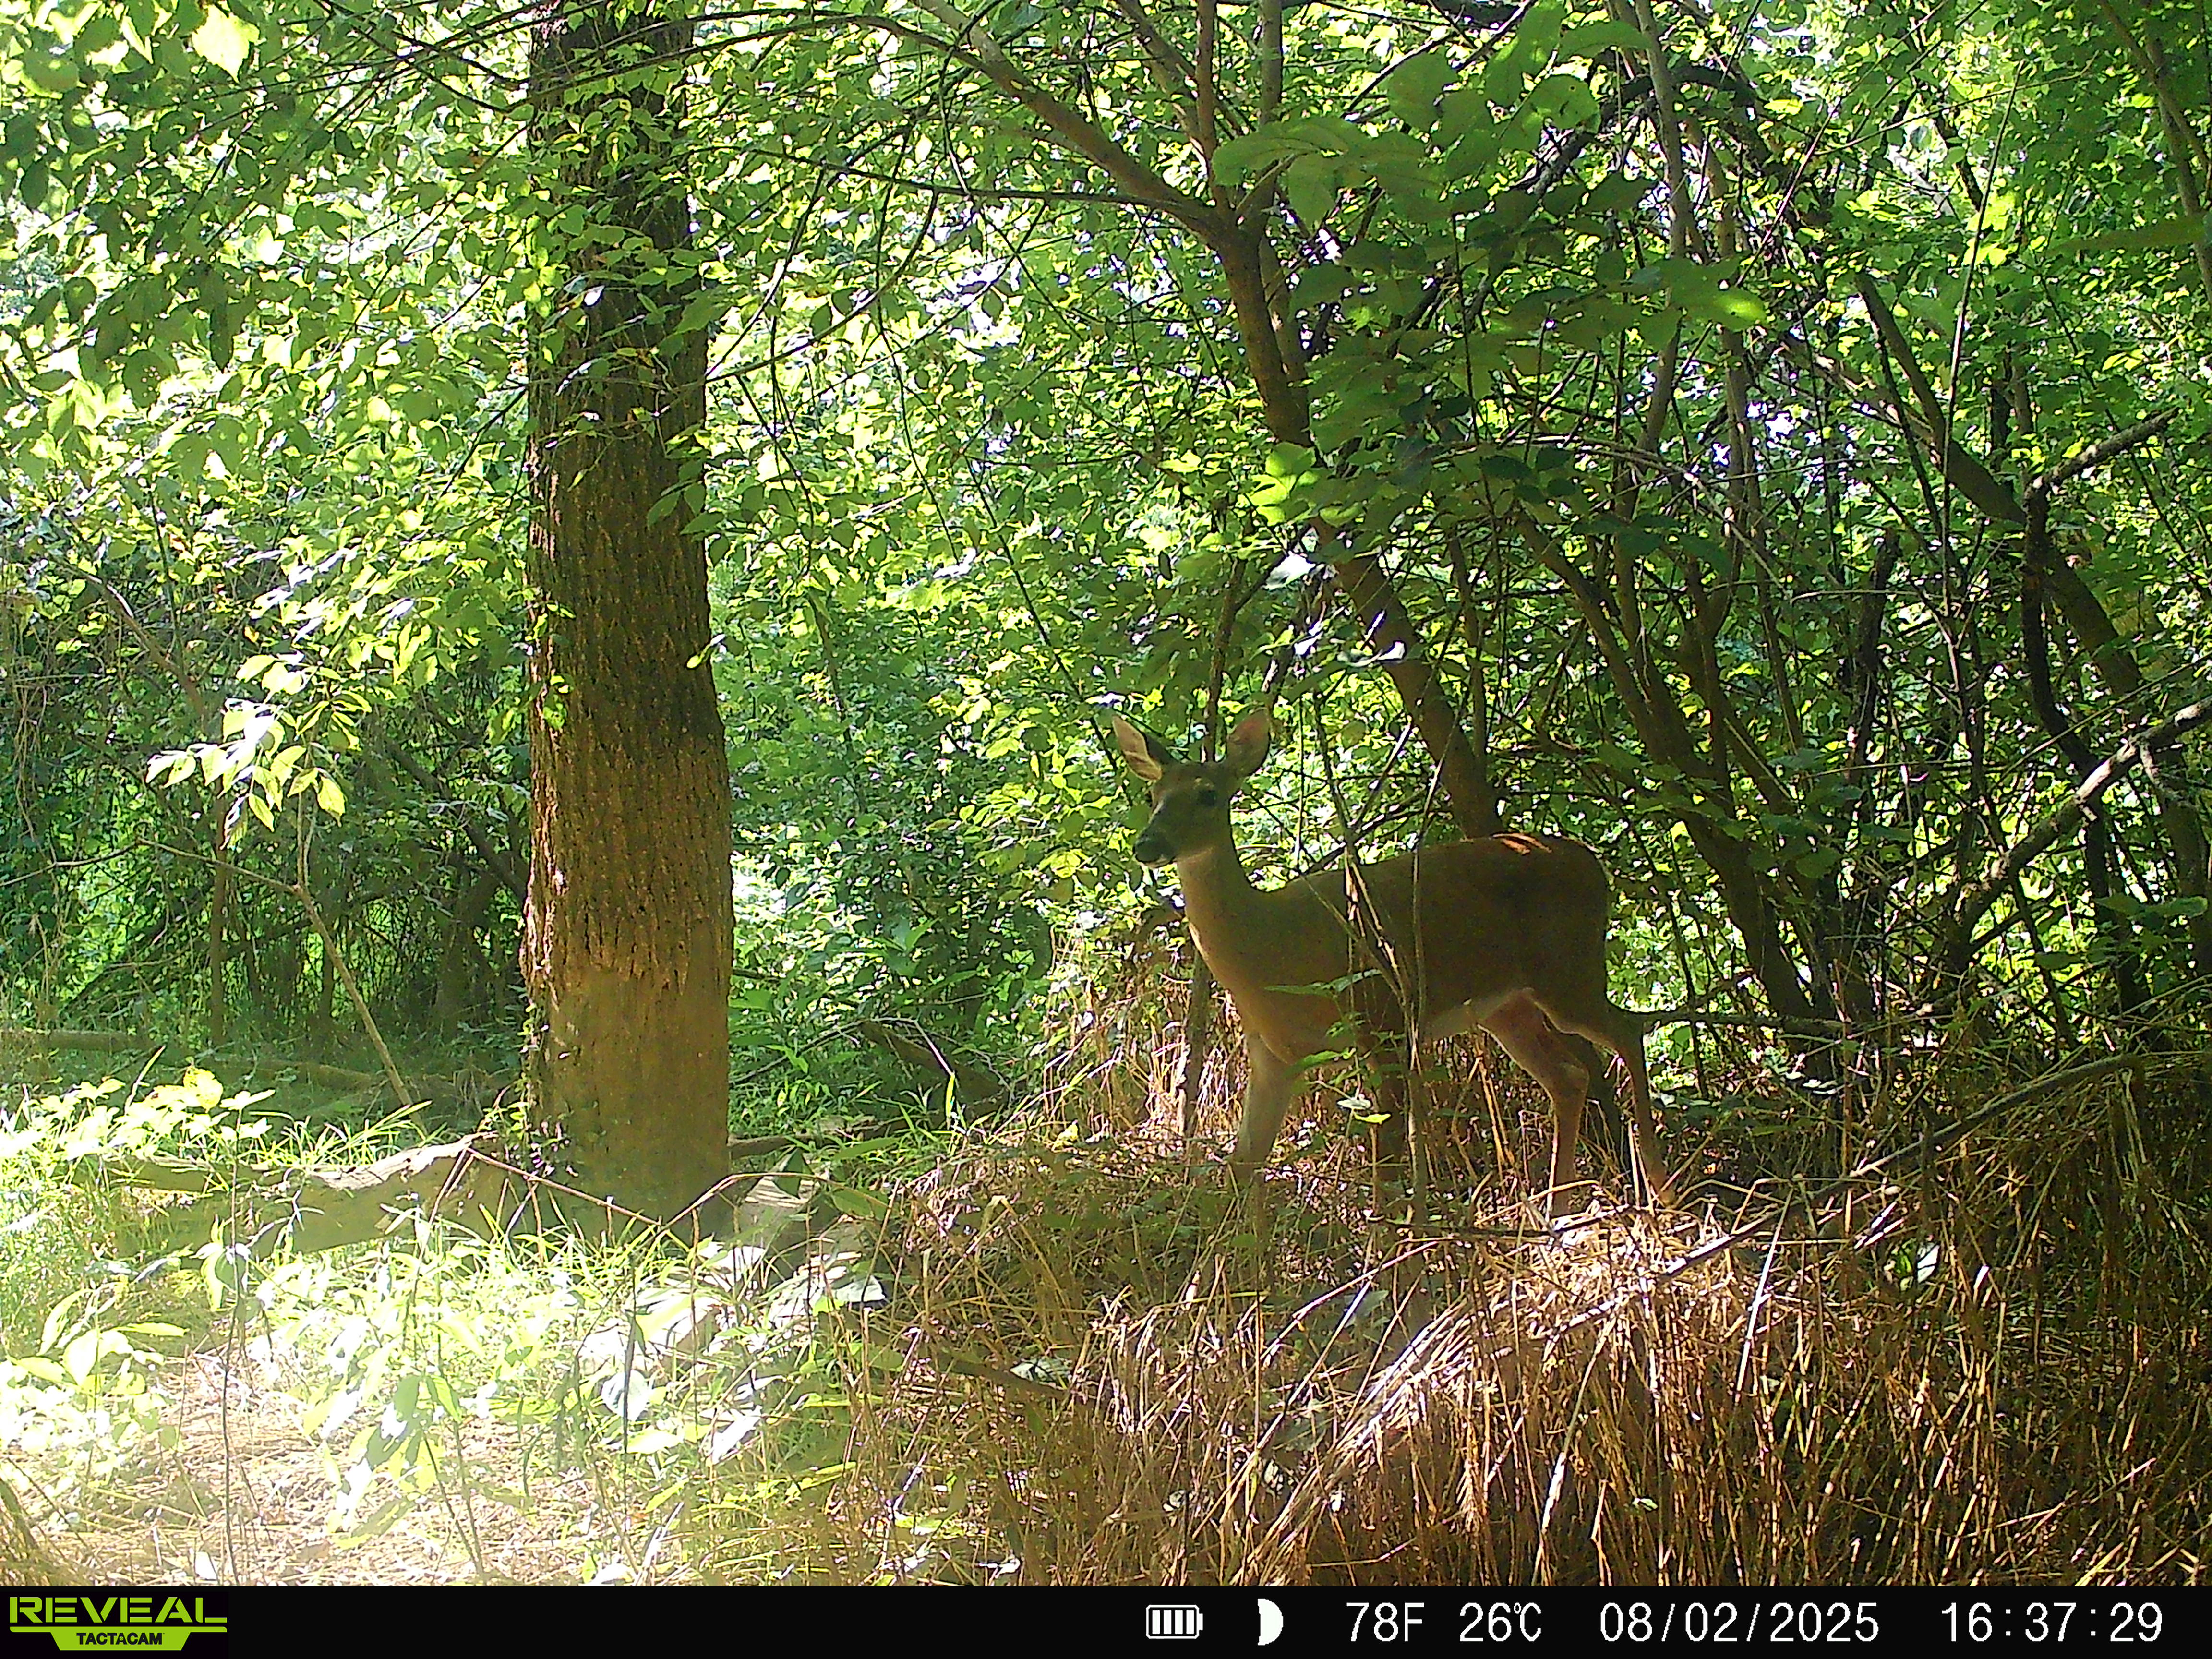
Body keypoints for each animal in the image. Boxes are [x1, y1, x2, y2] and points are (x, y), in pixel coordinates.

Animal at [1112, 707, 1672, 1217]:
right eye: (1153, 796)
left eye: (1208, 794)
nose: (1147, 844)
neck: (1272, 949)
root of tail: (1593, 864)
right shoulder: (1273, 1052)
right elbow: (1242, 1165)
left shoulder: (1382, 1020)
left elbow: (1388, 1164)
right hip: (1504, 1006)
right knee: (1569, 1077)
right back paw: (1557, 1209)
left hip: (1567, 967)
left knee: (1629, 1030)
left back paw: (1660, 1188)